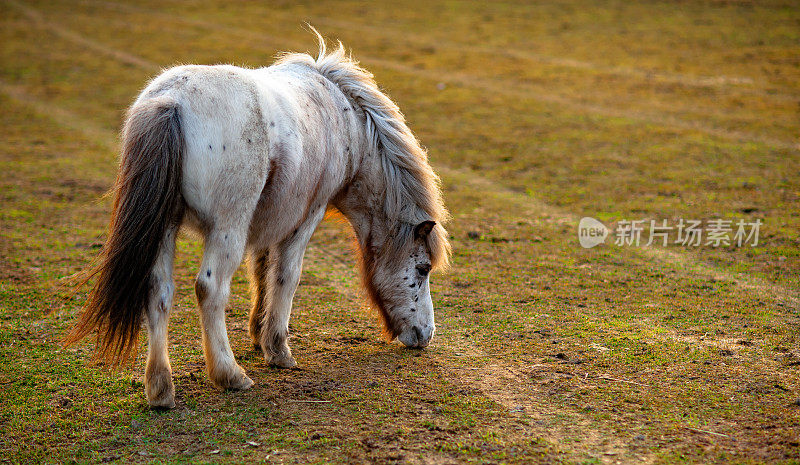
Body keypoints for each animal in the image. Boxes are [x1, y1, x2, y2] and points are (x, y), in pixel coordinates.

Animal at [65, 31, 454, 406]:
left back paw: (161, 389)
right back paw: (229, 375)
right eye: (423, 269)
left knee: (159, 291)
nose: (426, 334)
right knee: (209, 289)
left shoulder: (271, 215)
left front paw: (257, 334)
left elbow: (262, 270)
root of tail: (171, 101)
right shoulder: (306, 216)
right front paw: (278, 349)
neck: (341, 116)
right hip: (227, 228)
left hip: (166, 229)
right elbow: (286, 276)